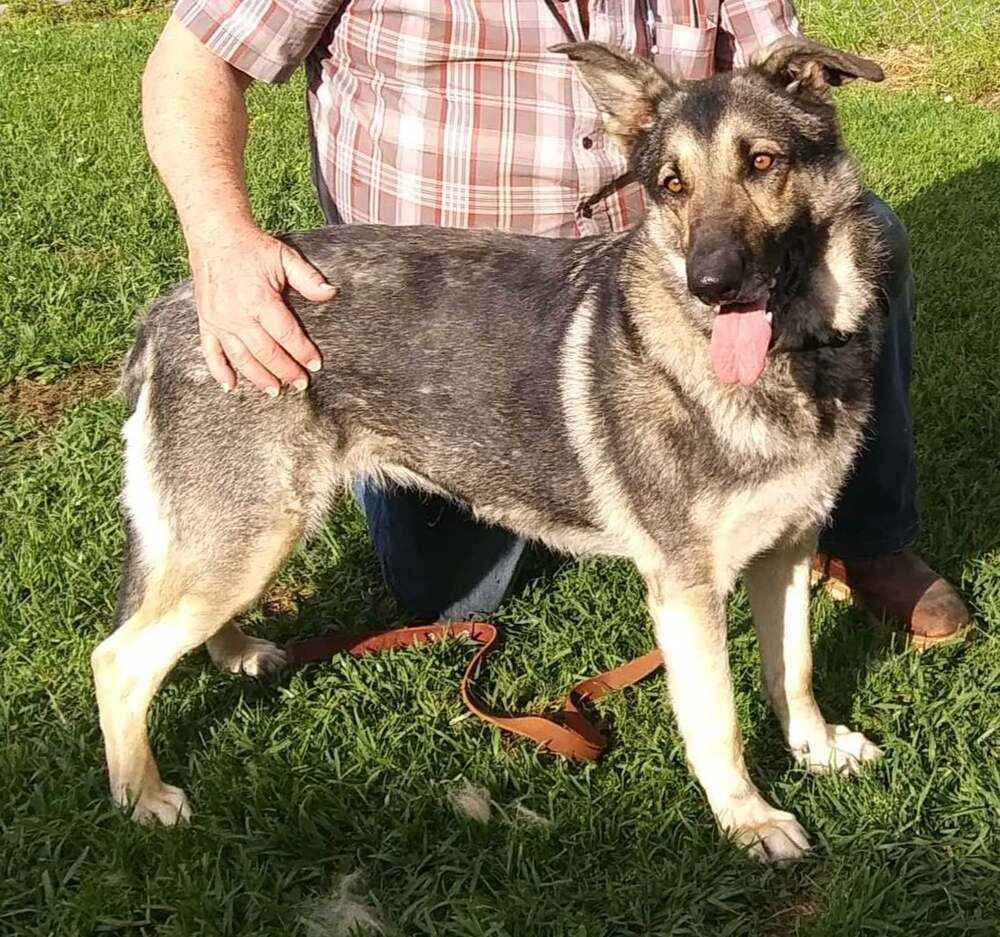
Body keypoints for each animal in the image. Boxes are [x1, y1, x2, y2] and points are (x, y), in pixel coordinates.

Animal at [97, 40, 888, 860]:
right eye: (672, 184)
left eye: (762, 161)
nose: (712, 284)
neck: (794, 367)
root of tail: (175, 307)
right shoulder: (686, 589)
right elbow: (720, 721)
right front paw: (747, 819)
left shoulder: (787, 550)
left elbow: (793, 670)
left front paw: (817, 750)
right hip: (256, 532)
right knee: (119, 658)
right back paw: (143, 796)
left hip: (239, 539)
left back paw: (236, 652)